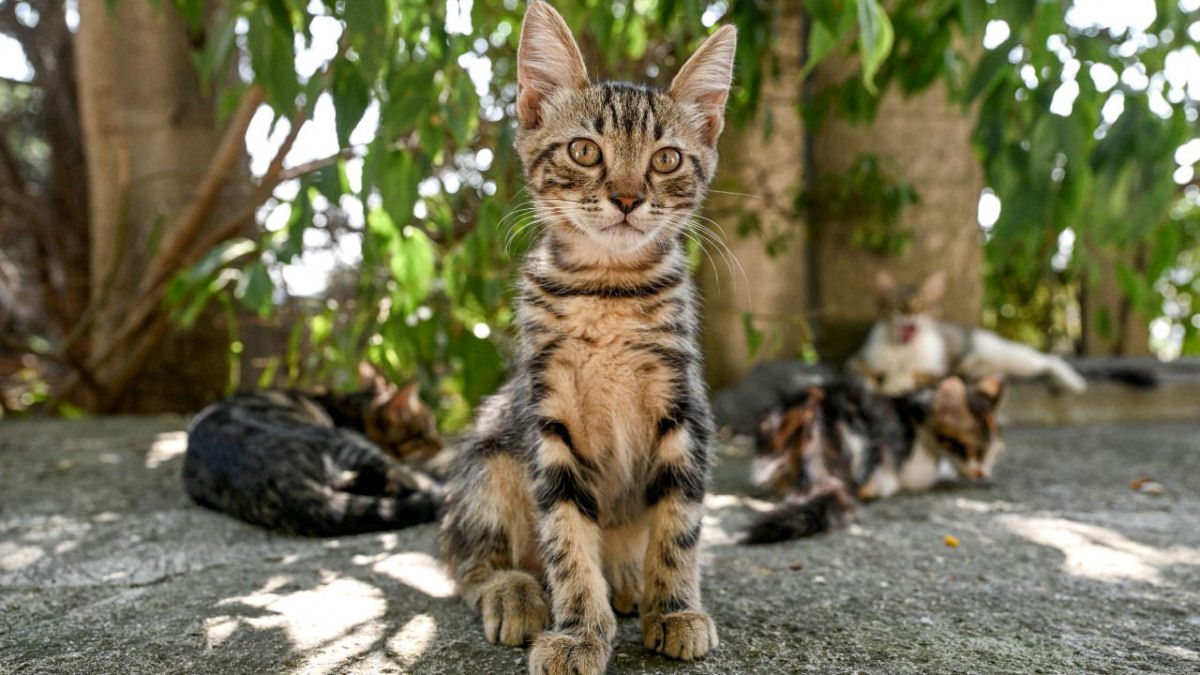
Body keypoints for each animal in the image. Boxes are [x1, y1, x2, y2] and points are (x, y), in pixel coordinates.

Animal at [436, 3, 729, 667]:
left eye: (666, 160)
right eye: (584, 151)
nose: (626, 197)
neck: (607, 290)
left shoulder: (685, 408)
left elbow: (678, 526)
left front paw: (674, 608)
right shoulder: (548, 416)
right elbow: (566, 537)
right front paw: (578, 632)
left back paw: (629, 587)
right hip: (491, 455)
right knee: (470, 563)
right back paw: (515, 593)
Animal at [744, 369, 1008, 542]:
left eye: (995, 455)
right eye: (975, 451)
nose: (983, 473)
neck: (917, 413)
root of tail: (815, 408)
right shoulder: (916, 468)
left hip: (769, 428)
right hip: (865, 441)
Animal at [844, 269, 1089, 393]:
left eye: (921, 307)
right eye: (897, 306)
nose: (910, 316)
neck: (902, 349)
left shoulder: (935, 371)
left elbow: (908, 374)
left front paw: (892, 383)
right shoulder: (857, 359)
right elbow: (858, 372)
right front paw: (868, 383)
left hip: (1008, 355)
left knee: (1048, 359)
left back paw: (1071, 381)